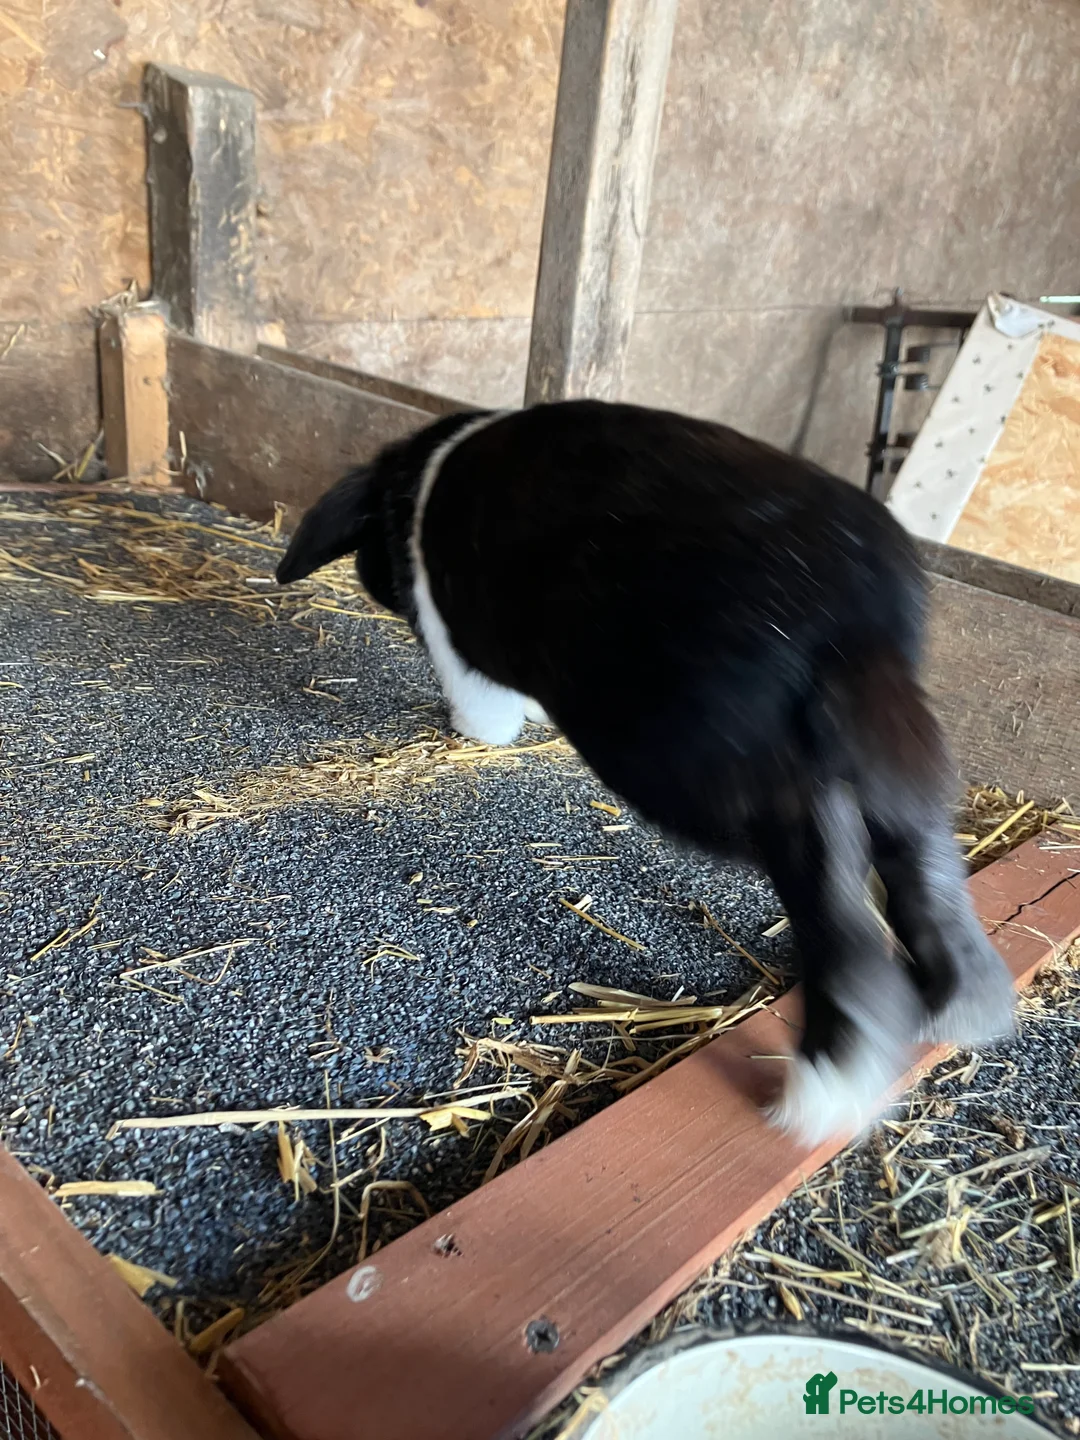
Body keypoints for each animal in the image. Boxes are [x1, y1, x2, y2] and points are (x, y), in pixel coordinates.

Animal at [276, 398, 1014, 1146]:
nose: (372, 577)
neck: (420, 480)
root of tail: (851, 612)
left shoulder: (460, 645)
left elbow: (478, 698)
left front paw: (476, 732)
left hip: (695, 765)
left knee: (832, 888)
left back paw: (824, 1089)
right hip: (880, 742)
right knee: (919, 855)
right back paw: (964, 1009)